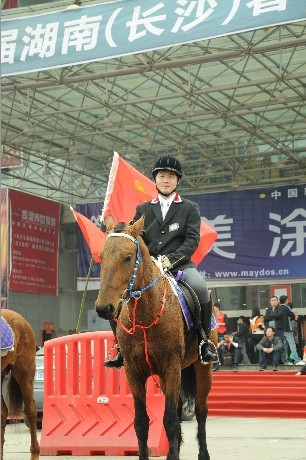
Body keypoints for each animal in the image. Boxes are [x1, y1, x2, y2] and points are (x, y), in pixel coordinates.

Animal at [94, 217, 216, 460]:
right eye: (101, 256)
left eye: (127, 257)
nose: (104, 308)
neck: (145, 315)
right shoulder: (134, 372)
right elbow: (141, 423)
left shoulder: (171, 366)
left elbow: (170, 421)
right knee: (178, 409)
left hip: (201, 368)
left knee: (200, 411)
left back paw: (203, 453)